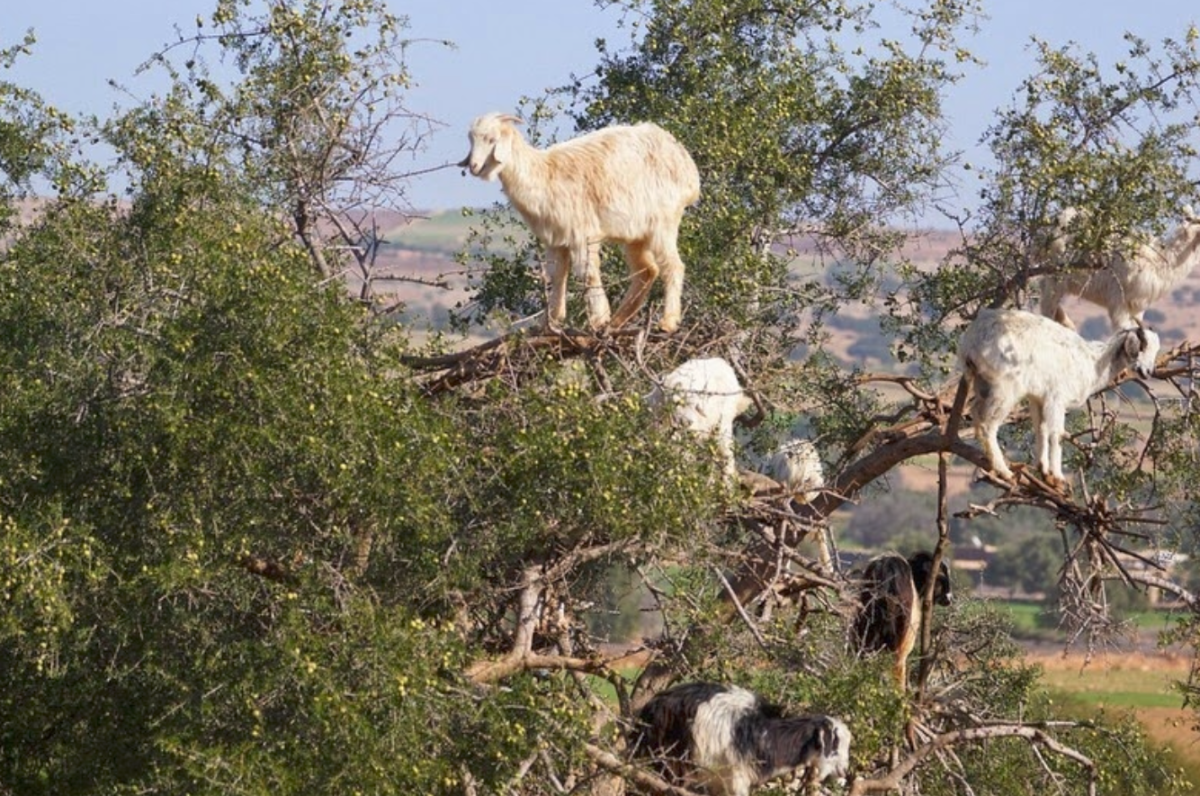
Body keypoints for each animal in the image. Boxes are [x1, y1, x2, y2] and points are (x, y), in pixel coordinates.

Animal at [458, 112, 700, 333]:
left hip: (663, 222)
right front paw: (550, 322)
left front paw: (598, 319)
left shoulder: (582, 233)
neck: (544, 173)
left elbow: (587, 273)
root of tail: (688, 169)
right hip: (636, 235)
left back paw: (667, 322)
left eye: (491, 139)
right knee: (646, 271)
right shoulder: (556, 239)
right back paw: (617, 322)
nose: (474, 166)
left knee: (672, 266)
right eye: (471, 139)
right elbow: (557, 275)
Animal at [628, 677, 854, 796]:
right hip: (671, 762)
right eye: (835, 743)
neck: (768, 735)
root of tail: (650, 708)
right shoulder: (737, 777)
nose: (844, 770)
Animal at [955, 306, 1161, 489]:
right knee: (987, 424)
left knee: (976, 413)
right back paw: (1004, 471)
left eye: (1155, 350)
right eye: (1141, 347)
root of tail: (971, 342)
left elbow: (1041, 429)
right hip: (1005, 388)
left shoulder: (1038, 398)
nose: (1147, 372)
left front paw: (1044, 471)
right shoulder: (1057, 398)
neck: (1092, 362)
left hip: (982, 383)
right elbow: (1057, 434)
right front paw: (1058, 478)